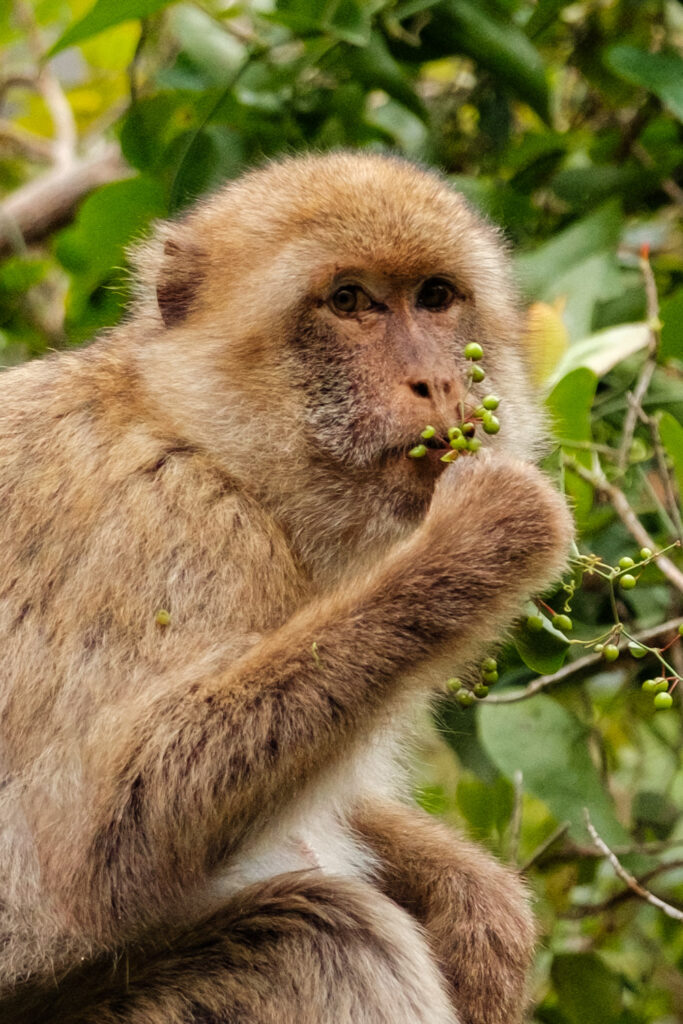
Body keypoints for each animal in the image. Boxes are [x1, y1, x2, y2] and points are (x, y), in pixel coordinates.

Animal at [0, 151, 573, 1024]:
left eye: (434, 296)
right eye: (349, 302)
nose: (436, 382)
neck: (200, 436)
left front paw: (473, 899)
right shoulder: (161, 525)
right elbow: (99, 844)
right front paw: (482, 535)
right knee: (323, 935)